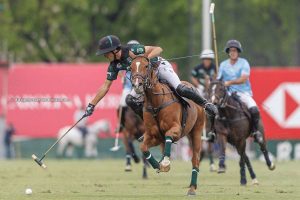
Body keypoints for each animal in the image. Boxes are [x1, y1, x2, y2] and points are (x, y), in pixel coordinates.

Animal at [130, 55, 205, 195]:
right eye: (130, 67)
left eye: (146, 66)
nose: (137, 85)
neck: (156, 102)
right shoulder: (154, 136)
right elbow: (143, 147)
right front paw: (158, 165)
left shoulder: (176, 129)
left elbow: (169, 135)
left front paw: (165, 163)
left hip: (197, 131)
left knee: (195, 159)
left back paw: (192, 188)